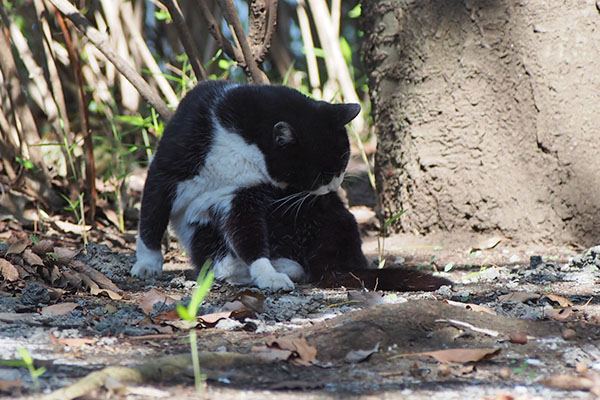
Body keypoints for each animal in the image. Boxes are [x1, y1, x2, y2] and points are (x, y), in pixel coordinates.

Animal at [131, 81, 450, 292]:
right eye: (321, 174)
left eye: (342, 167)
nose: (333, 188)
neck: (240, 142)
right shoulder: (169, 165)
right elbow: (151, 215)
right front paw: (147, 264)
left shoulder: (242, 194)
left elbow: (249, 235)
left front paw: (268, 274)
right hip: (203, 230)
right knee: (214, 256)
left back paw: (283, 267)